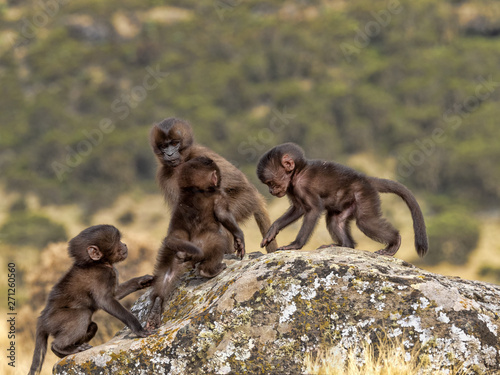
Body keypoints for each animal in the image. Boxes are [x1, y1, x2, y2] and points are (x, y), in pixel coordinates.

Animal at [28, 225, 153, 374]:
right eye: (117, 241)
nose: (125, 245)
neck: (97, 263)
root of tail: (42, 319)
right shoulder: (102, 275)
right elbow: (106, 301)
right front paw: (138, 329)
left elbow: (116, 294)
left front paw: (143, 281)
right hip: (55, 320)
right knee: (82, 315)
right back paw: (61, 348)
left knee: (93, 326)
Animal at [146, 157, 245, 330]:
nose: (219, 180)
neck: (193, 189)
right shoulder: (219, 195)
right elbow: (223, 214)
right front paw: (239, 240)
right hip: (202, 244)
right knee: (217, 243)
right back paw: (210, 271)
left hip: (169, 249)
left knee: (165, 275)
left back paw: (155, 309)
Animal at [150, 117, 280, 253]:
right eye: (164, 146)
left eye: (175, 144)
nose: (169, 154)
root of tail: (256, 196)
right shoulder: (165, 176)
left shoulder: (201, 155)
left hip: (245, 200)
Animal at [256, 142, 428, 258]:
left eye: (271, 183)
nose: (271, 191)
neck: (298, 172)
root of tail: (363, 178)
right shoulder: (292, 189)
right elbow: (298, 209)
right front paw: (272, 230)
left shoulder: (302, 186)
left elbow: (313, 209)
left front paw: (295, 245)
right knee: (335, 221)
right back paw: (345, 245)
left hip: (364, 195)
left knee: (366, 221)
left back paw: (395, 242)